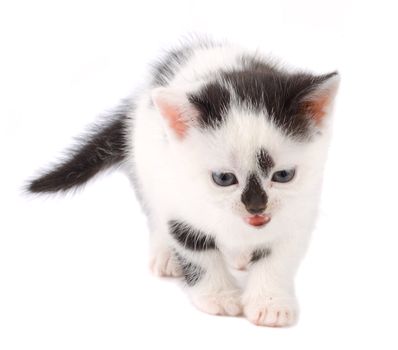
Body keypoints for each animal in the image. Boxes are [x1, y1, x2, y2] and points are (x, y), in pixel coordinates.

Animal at [28, 41, 338, 328]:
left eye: (283, 175)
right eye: (224, 179)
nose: (256, 206)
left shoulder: (299, 209)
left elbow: (278, 256)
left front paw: (270, 303)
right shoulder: (179, 197)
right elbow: (195, 248)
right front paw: (218, 296)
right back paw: (165, 255)